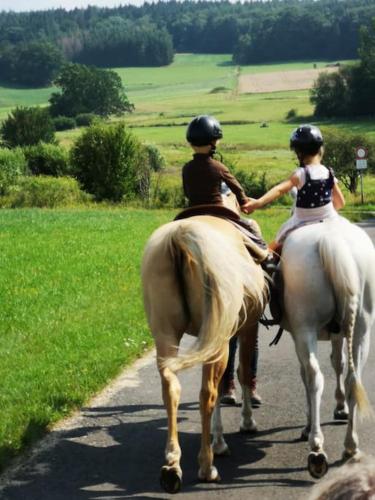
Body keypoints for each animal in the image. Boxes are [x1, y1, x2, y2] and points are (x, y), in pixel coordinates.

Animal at [141, 206, 268, 492]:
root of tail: (179, 237)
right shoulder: (246, 328)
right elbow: (242, 372)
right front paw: (244, 424)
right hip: (217, 343)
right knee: (207, 394)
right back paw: (207, 466)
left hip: (166, 336)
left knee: (171, 390)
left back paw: (172, 465)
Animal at [282, 217, 375, 478]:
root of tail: (332, 241)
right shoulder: (339, 333)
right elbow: (339, 362)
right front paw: (341, 407)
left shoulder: (299, 336)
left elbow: (311, 373)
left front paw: (309, 424)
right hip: (361, 329)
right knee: (354, 380)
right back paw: (350, 446)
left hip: (305, 329)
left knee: (314, 377)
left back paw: (316, 447)